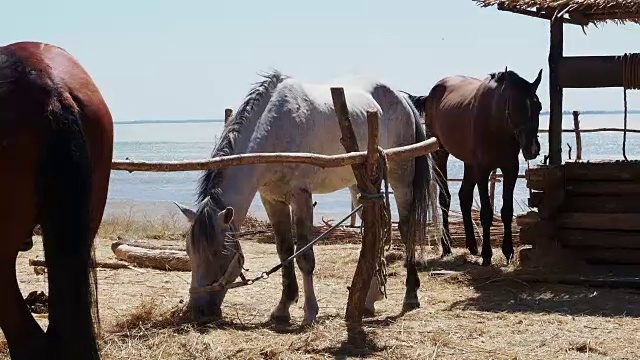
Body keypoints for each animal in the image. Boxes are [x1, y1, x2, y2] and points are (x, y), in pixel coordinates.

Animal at [175, 71, 444, 326]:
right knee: (374, 233)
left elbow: (305, 256)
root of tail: (402, 98)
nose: (198, 311)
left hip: (401, 176)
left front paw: (310, 312)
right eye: (189, 251)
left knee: (407, 229)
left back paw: (410, 295)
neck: (273, 132)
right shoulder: (272, 199)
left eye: (219, 253)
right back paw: (370, 300)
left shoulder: (301, 196)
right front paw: (283, 308)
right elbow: (284, 252)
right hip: (363, 182)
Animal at [404, 67, 540, 266]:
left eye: (539, 107)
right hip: (440, 154)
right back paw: (447, 246)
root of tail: (431, 94)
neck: (495, 123)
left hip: (469, 164)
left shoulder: (510, 169)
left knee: (464, 196)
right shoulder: (483, 170)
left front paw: (508, 251)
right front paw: (487, 254)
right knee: (445, 198)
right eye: (516, 107)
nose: (532, 148)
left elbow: (507, 210)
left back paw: (472, 245)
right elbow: (486, 212)